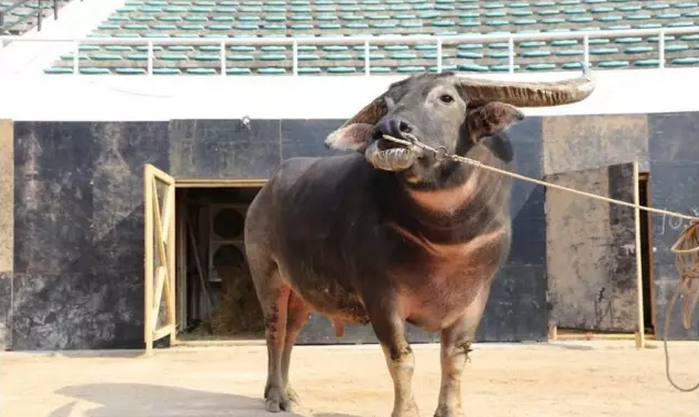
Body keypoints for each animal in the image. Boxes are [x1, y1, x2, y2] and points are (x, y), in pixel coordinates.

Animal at [246, 70, 596, 414]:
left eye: (446, 98)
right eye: (386, 106)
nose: (388, 129)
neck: (448, 238)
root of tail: (263, 194)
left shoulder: (476, 296)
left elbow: (454, 359)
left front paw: (451, 410)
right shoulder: (380, 296)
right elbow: (401, 358)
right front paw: (405, 410)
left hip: (302, 290)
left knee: (291, 332)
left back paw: (290, 394)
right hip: (268, 276)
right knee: (275, 331)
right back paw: (275, 395)